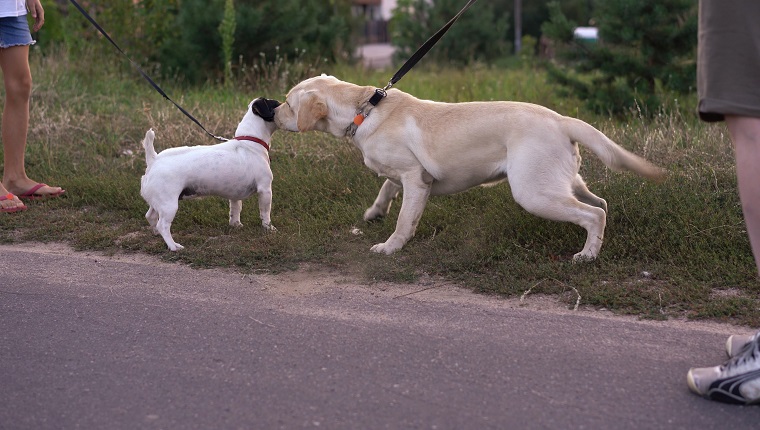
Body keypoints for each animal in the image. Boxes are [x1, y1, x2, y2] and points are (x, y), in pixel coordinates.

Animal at [141, 97, 280, 250]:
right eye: (277, 104)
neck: (250, 142)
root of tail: (154, 160)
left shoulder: (235, 195)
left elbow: (235, 210)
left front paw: (236, 225)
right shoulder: (265, 189)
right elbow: (265, 212)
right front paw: (269, 228)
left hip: (158, 202)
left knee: (150, 216)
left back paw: (156, 233)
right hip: (169, 205)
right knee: (163, 225)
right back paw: (173, 246)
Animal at [274, 75, 664, 260]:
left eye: (290, 104)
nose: (271, 110)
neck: (363, 109)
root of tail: (562, 119)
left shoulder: (415, 178)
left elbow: (404, 220)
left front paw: (390, 247)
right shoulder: (408, 175)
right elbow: (387, 186)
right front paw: (374, 212)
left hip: (534, 192)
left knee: (593, 214)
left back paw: (587, 255)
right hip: (566, 183)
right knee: (601, 205)